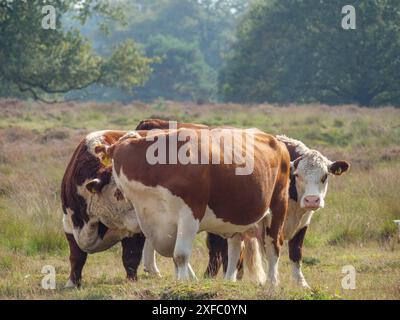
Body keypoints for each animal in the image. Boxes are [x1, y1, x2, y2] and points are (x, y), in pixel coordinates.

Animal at [95, 125, 290, 282]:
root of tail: (276, 141)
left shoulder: (190, 213)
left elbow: (180, 255)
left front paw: (182, 283)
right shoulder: (151, 218)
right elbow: (174, 257)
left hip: (278, 207)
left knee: (273, 245)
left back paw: (272, 283)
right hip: (236, 218)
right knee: (235, 246)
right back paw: (229, 281)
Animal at [203, 135, 350, 288]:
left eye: (325, 176)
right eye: (297, 175)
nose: (311, 200)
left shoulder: (303, 224)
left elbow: (296, 251)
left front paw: (301, 283)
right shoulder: (266, 225)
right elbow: (270, 252)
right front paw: (273, 281)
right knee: (217, 251)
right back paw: (211, 277)